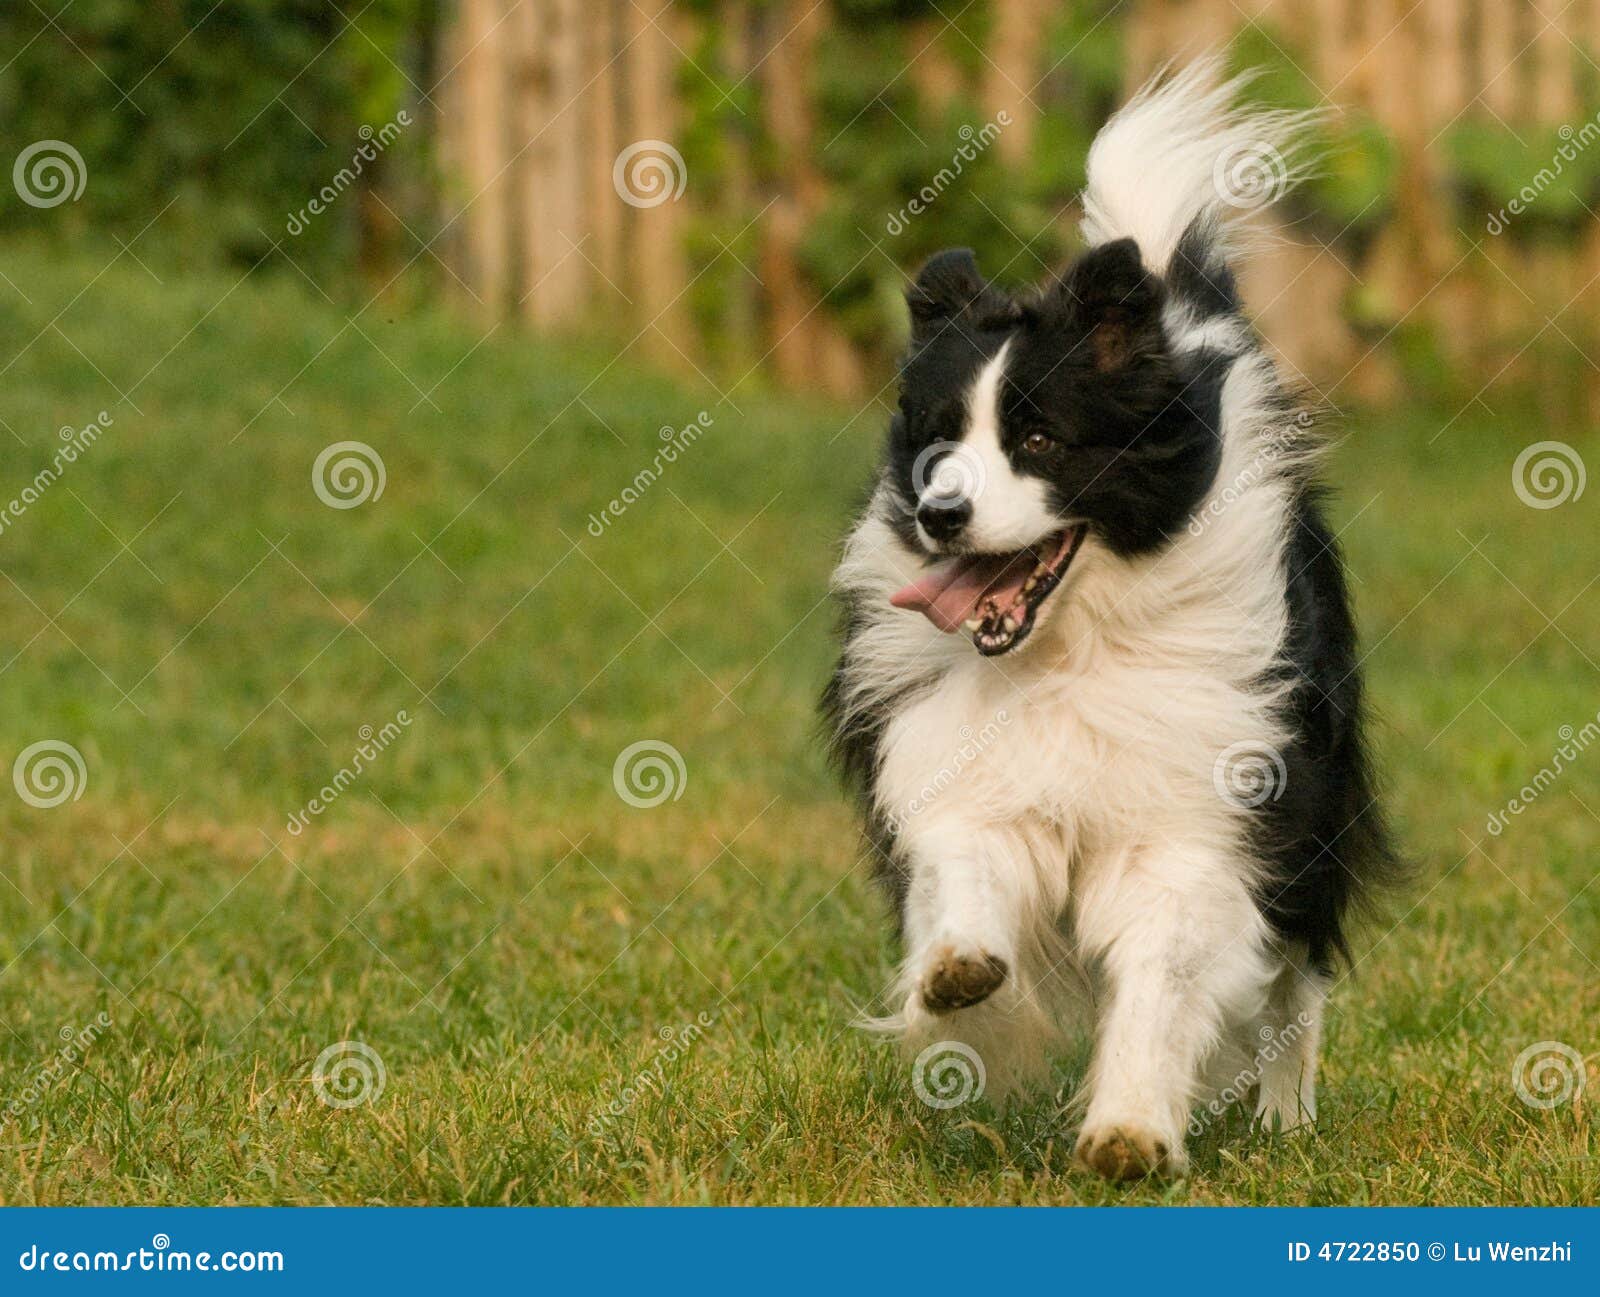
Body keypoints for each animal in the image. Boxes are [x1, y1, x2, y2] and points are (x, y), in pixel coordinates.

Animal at [832, 63, 1395, 1189]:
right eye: (936, 442)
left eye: (1040, 439)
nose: (940, 514)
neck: (1070, 647)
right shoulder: (969, 759)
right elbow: (966, 862)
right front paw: (956, 973)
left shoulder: (1198, 808)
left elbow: (1165, 973)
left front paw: (1132, 1129)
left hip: (1311, 804)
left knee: (1298, 977)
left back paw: (1286, 1118)